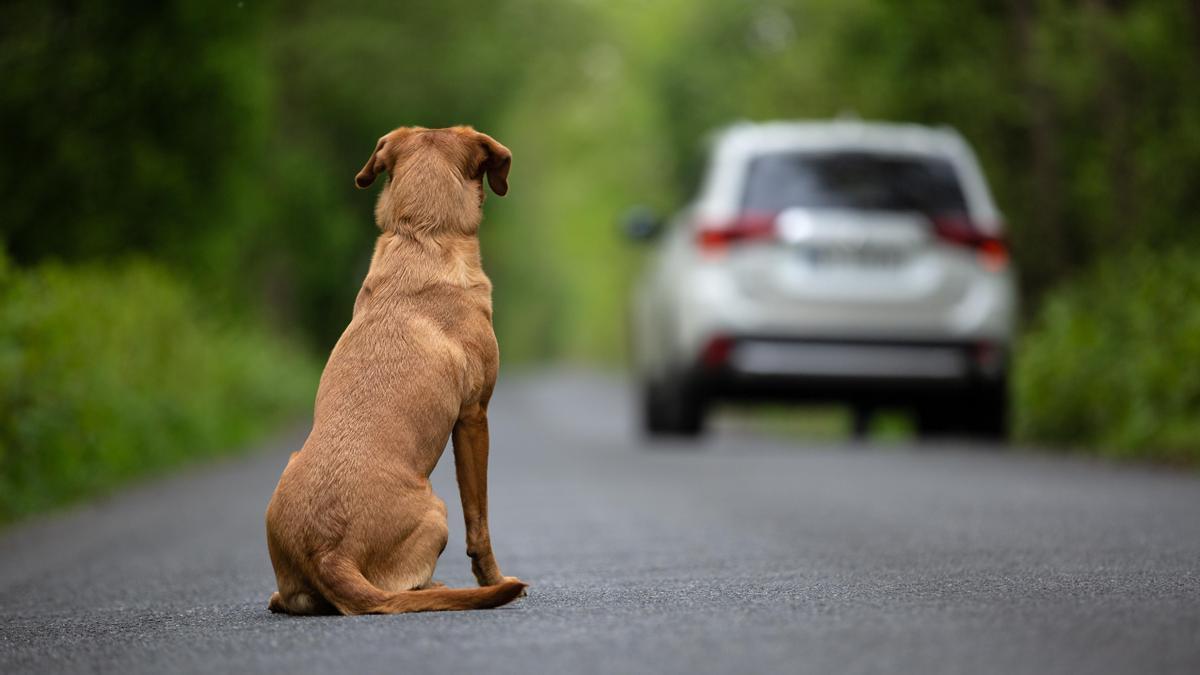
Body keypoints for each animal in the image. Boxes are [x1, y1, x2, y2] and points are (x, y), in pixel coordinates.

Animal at [265, 123, 528, 612]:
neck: (421, 235)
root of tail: (328, 553)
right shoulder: (474, 417)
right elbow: (479, 520)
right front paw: (493, 578)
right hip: (437, 509)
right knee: (407, 587)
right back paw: (443, 587)